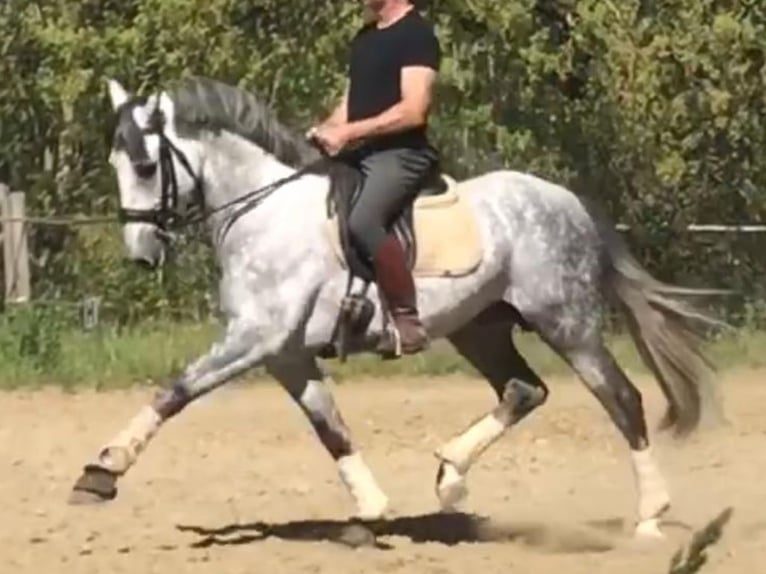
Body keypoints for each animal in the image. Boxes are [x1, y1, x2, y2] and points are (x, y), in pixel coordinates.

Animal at [70, 76, 728, 540]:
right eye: (116, 163)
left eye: (146, 165)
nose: (141, 254)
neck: (261, 213)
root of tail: (567, 200)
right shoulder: (285, 354)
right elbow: (330, 427)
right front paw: (372, 506)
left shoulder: (255, 338)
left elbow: (177, 390)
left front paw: (102, 471)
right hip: (479, 328)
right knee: (523, 390)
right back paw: (451, 476)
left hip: (567, 323)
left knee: (622, 399)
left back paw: (650, 516)